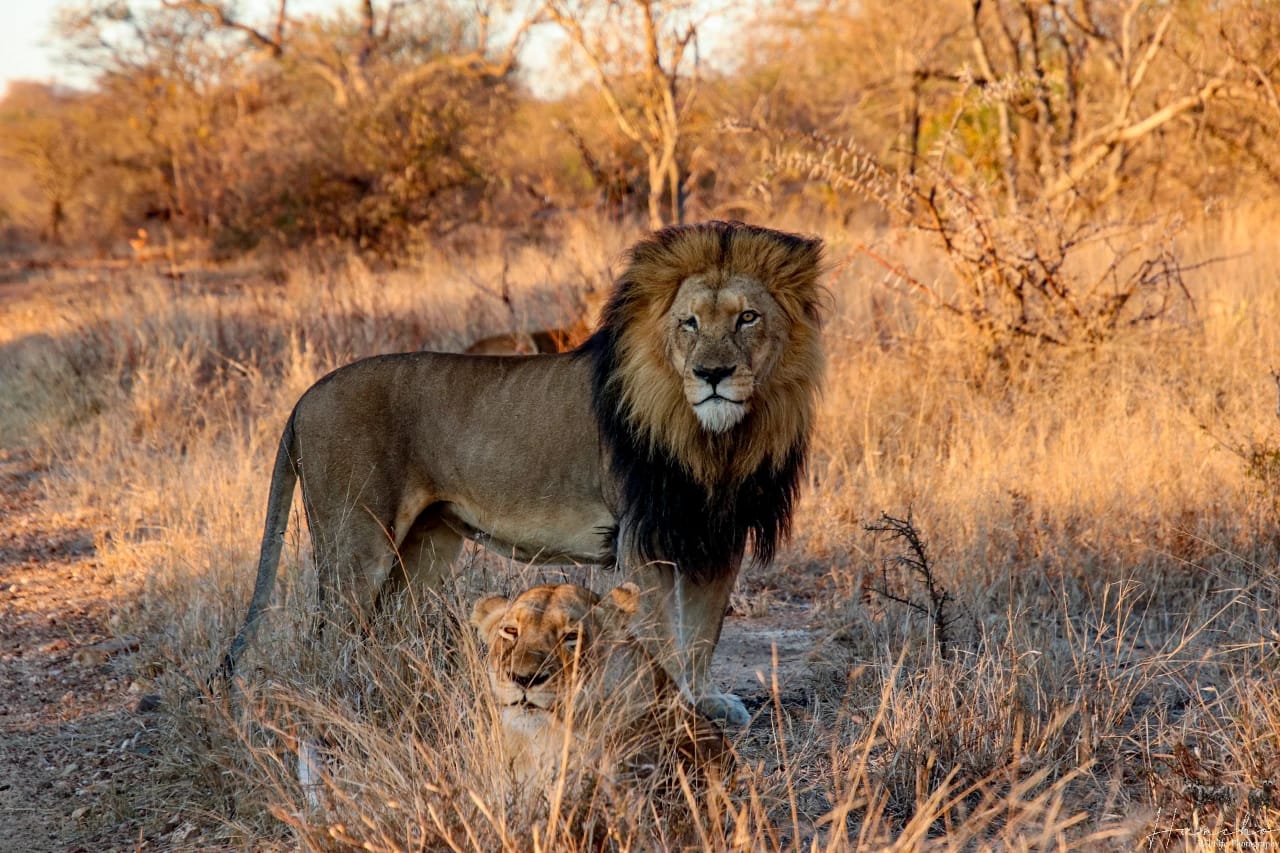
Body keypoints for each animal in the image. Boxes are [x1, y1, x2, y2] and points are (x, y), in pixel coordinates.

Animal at [218, 220, 825, 726]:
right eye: (689, 323)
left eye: (748, 317)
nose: (712, 373)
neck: (719, 440)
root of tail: (304, 398)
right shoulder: (646, 535)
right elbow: (663, 634)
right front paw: (666, 709)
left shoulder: (716, 535)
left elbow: (702, 631)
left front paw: (703, 703)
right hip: (355, 544)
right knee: (330, 639)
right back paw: (340, 705)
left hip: (425, 547)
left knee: (385, 630)